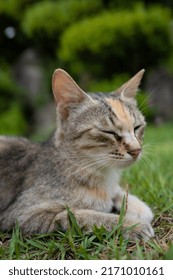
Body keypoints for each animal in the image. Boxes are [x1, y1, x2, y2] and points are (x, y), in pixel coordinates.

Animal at [0, 68, 154, 241]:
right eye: (109, 132)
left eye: (137, 127)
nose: (136, 150)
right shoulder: (23, 215)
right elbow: (83, 216)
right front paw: (131, 225)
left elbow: (116, 192)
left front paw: (138, 207)